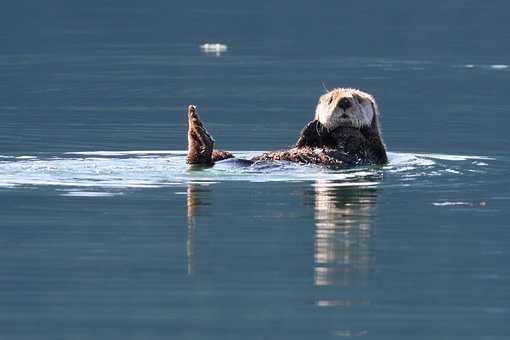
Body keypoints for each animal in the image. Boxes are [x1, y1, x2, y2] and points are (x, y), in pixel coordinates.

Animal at [185, 87, 388, 167]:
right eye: (331, 99)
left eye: (358, 99)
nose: (344, 101)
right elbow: (303, 142)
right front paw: (313, 125)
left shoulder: (374, 151)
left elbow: (361, 144)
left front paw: (347, 132)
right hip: (224, 155)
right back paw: (195, 125)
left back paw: (198, 131)